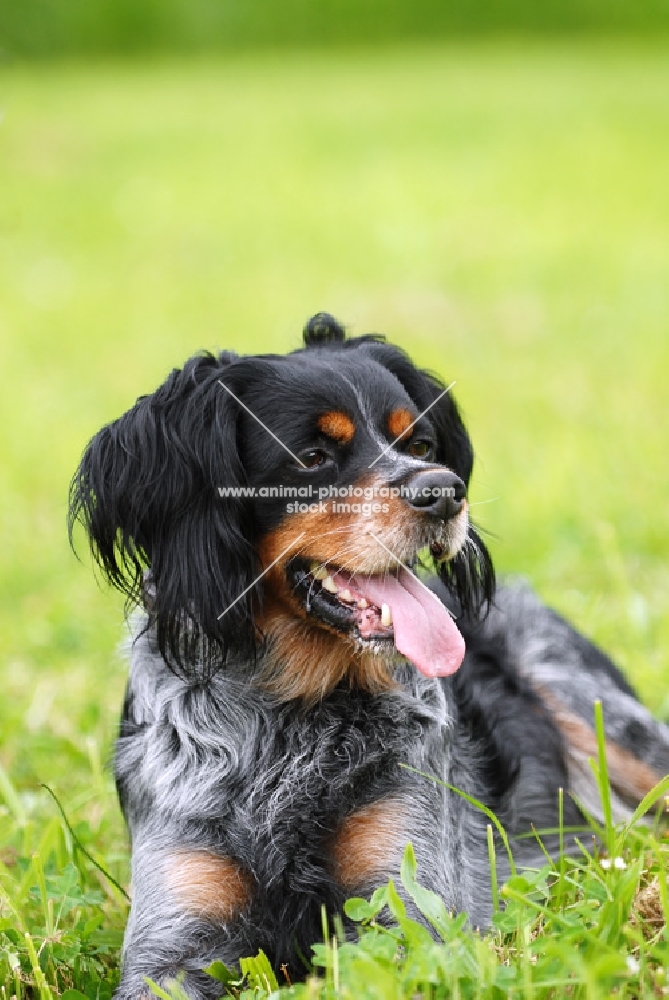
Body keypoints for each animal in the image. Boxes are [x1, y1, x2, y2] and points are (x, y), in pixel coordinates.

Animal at [69, 314, 668, 1000]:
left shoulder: (407, 909)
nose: (445, 493)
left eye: (424, 445)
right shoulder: (172, 938)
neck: (290, 722)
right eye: (312, 457)